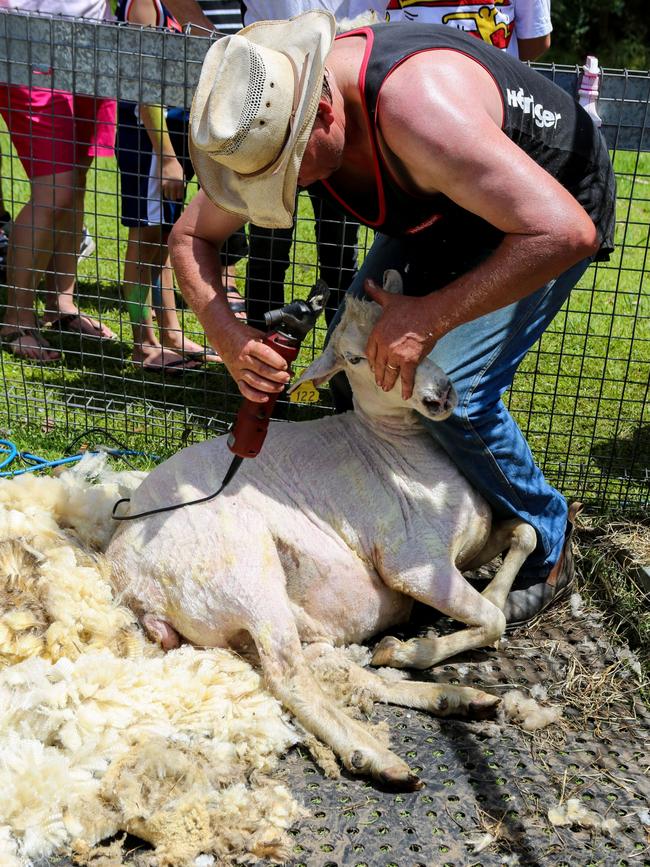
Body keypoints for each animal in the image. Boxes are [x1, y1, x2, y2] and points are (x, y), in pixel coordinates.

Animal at [106, 272, 536, 792]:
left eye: (420, 338)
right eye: (355, 359)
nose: (441, 396)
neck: (397, 447)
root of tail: (126, 577)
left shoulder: (466, 547)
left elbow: (525, 534)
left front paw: (484, 599)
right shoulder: (413, 565)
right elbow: (492, 621)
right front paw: (420, 647)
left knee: (344, 675)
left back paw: (452, 697)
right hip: (244, 573)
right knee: (287, 676)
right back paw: (377, 754)